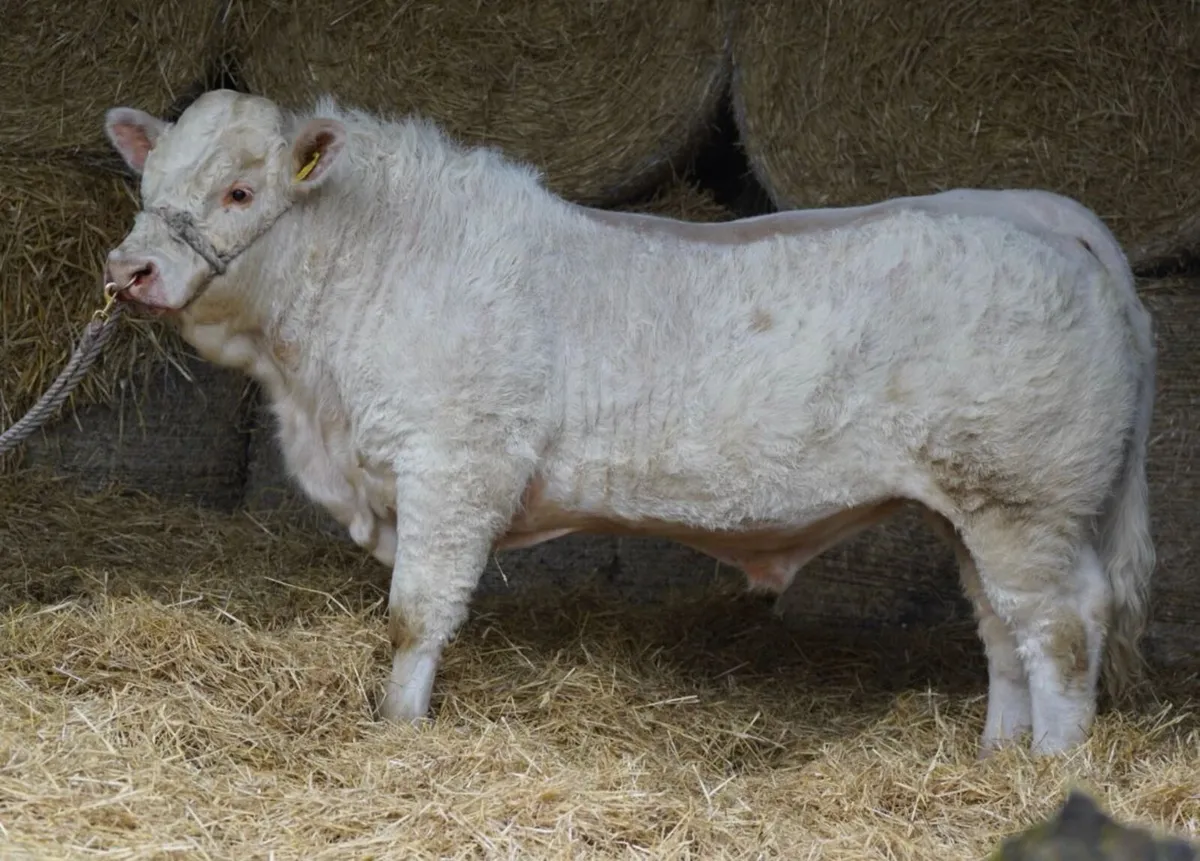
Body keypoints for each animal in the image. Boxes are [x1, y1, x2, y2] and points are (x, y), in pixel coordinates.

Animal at [100, 89, 1155, 757]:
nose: (130, 270)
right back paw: (1000, 757)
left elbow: (415, 616)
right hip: (975, 509)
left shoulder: (454, 467)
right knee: (1002, 628)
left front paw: (397, 732)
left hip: (1024, 501)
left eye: (240, 191)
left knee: (1062, 627)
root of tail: (1049, 217)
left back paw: (1051, 771)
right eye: (147, 190)